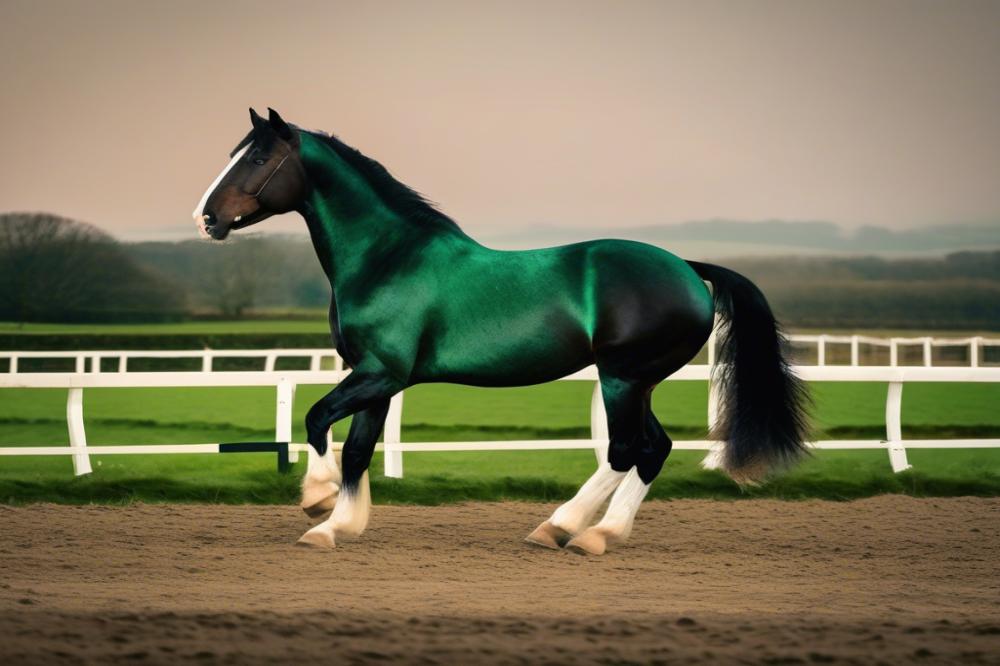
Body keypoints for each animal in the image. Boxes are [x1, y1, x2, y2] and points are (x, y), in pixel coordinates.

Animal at [191, 109, 808, 552]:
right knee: (654, 448)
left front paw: (317, 503)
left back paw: (566, 530)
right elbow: (359, 450)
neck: (388, 258)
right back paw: (597, 532)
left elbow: (318, 420)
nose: (206, 218)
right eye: (232, 154)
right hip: (638, 382)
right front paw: (339, 526)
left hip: (623, 378)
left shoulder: (379, 374)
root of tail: (687, 267)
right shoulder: (376, 379)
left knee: (625, 450)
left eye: (260, 157)